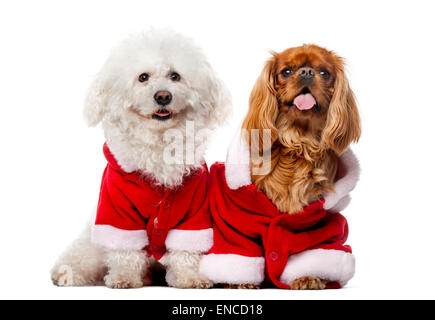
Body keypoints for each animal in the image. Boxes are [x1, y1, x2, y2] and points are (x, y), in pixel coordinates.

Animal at [50, 28, 232, 288]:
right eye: (143, 77)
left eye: (175, 76)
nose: (163, 96)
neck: (159, 144)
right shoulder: (117, 212)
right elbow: (125, 251)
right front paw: (124, 277)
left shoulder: (194, 214)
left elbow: (186, 252)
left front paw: (191, 277)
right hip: (92, 241)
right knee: (82, 255)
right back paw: (68, 272)